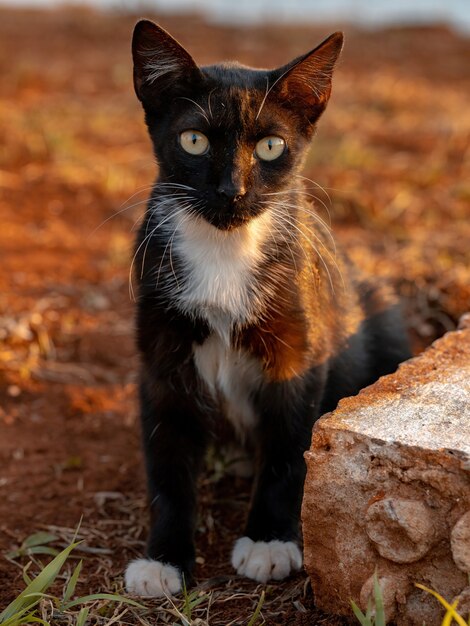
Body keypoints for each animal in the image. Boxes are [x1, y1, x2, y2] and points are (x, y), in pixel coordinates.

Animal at [123, 18, 410, 596]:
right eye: (194, 140)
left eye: (272, 146)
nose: (231, 191)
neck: (224, 247)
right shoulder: (160, 353)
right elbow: (166, 460)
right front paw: (163, 559)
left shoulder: (299, 349)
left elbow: (288, 446)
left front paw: (270, 541)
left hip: (381, 312)